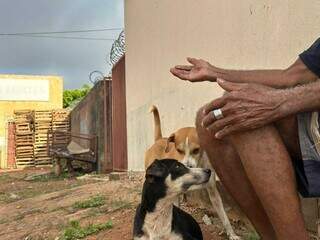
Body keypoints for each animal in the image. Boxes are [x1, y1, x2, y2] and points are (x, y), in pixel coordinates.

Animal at [145, 106, 240, 240]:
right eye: (179, 150)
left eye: (196, 150)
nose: (187, 166)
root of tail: (159, 140)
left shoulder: (213, 192)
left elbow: (224, 217)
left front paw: (232, 234)